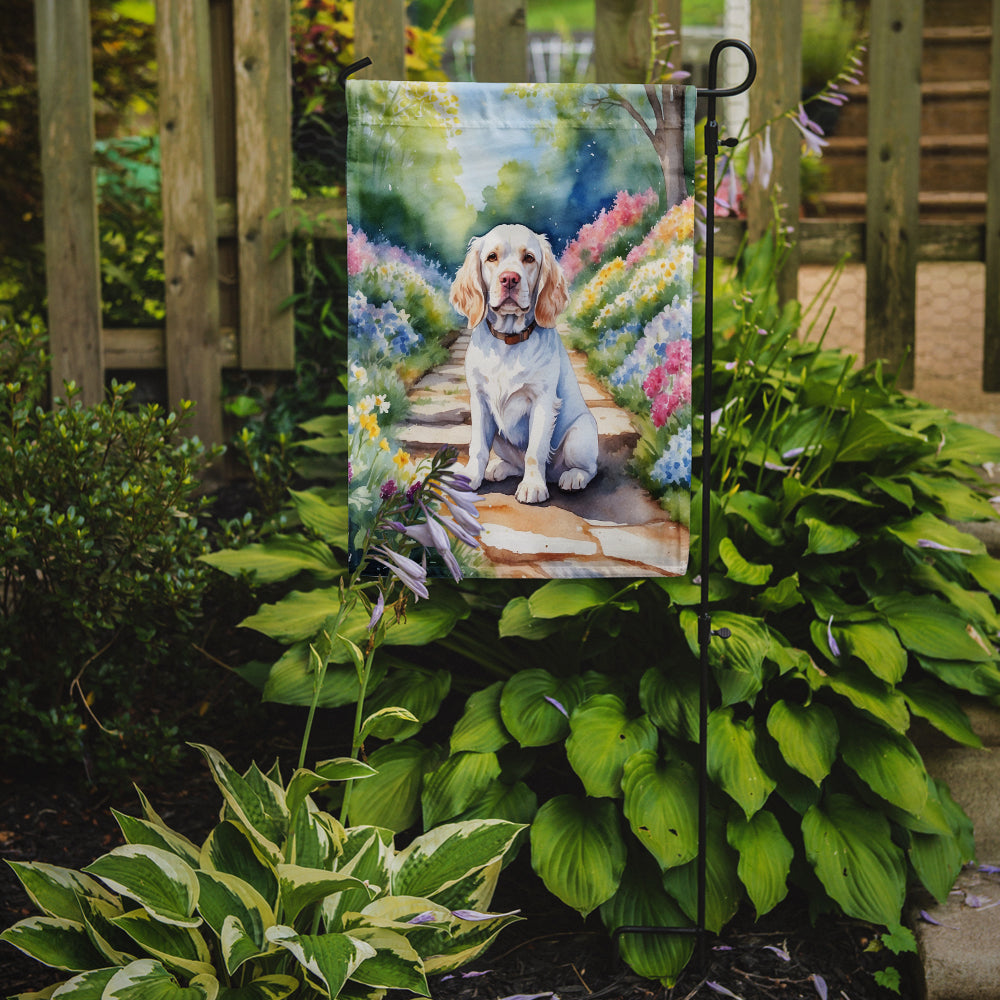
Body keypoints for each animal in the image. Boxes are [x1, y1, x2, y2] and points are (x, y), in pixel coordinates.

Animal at [450, 223, 596, 504]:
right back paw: (499, 468)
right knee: (515, 464)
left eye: (529, 258)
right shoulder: (479, 400)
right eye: (491, 258)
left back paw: (573, 477)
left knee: (589, 468)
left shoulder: (543, 401)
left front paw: (532, 486)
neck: (509, 342)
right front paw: (471, 476)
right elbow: (478, 447)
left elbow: (535, 450)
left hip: (581, 433)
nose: (509, 279)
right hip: (499, 437)